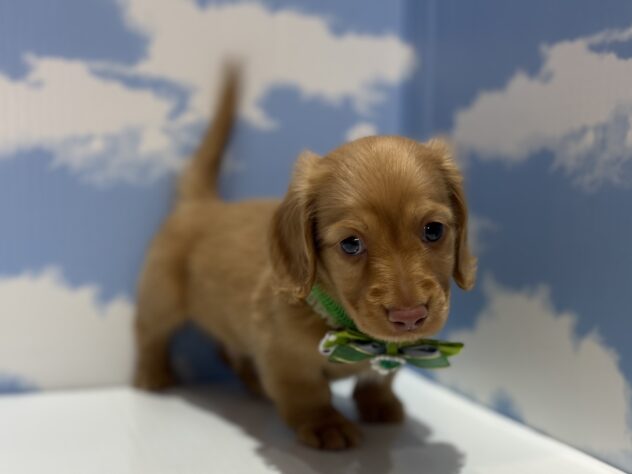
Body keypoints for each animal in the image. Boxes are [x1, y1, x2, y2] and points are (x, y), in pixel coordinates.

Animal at [134, 69, 476, 450]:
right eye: (351, 244)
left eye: (434, 230)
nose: (410, 316)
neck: (342, 325)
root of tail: (202, 204)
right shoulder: (286, 359)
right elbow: (308, 393)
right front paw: (325, 423)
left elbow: (379, 378)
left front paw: (380, 403)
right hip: (161, 299)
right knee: (149, 334)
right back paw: (152, 374)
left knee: (229, 352)